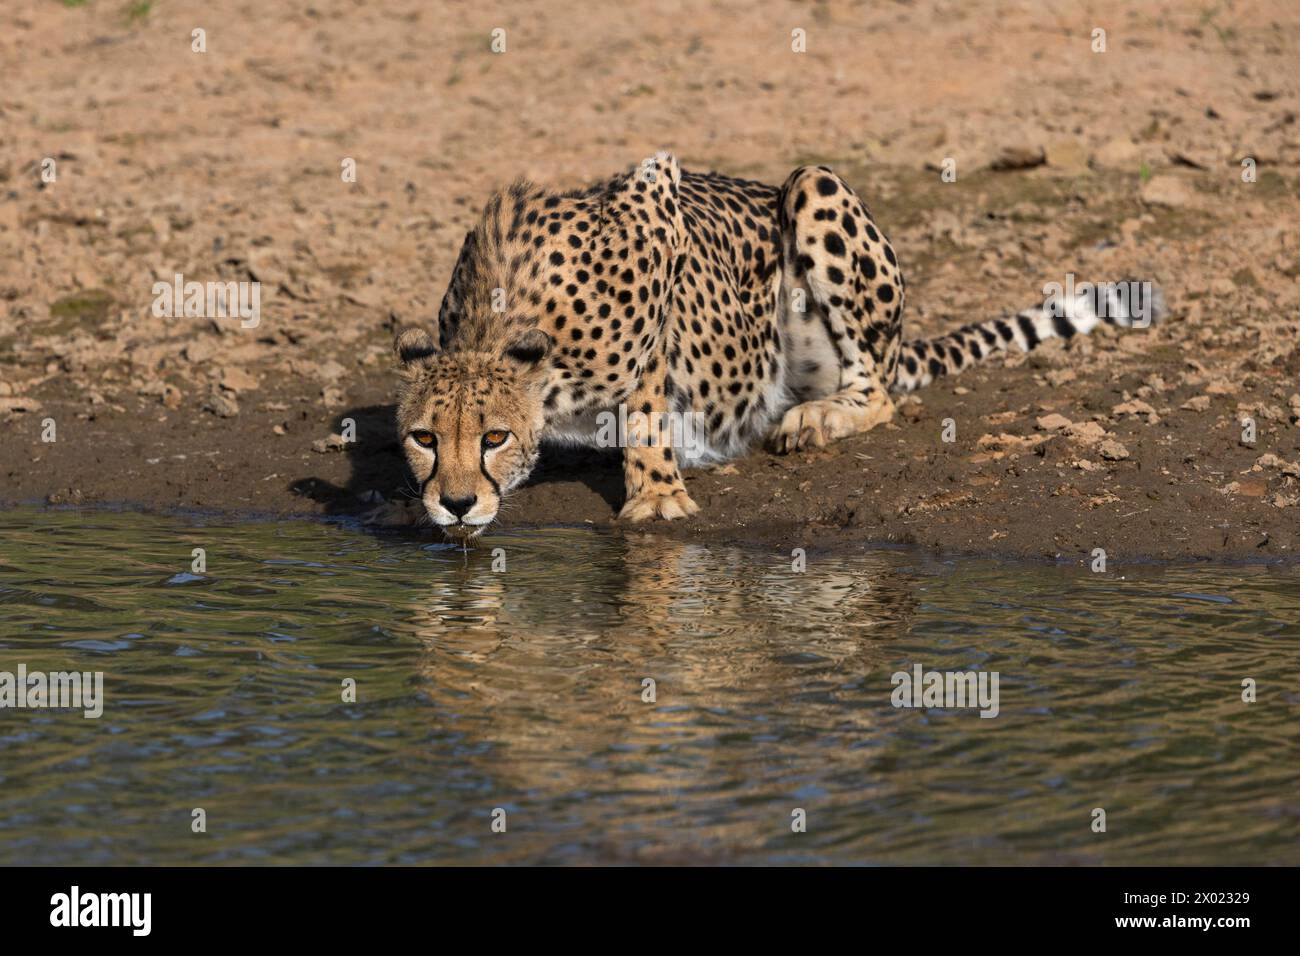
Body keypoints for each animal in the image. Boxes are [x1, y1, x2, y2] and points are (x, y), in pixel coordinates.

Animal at [392, 150, 1159, 538]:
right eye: (424, 438)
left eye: (493, 437)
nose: (455, 504)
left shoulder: (657, 223)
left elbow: (647, 401)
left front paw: (658, 493)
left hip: (813, 189)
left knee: (878, 392)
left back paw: (817, 417)